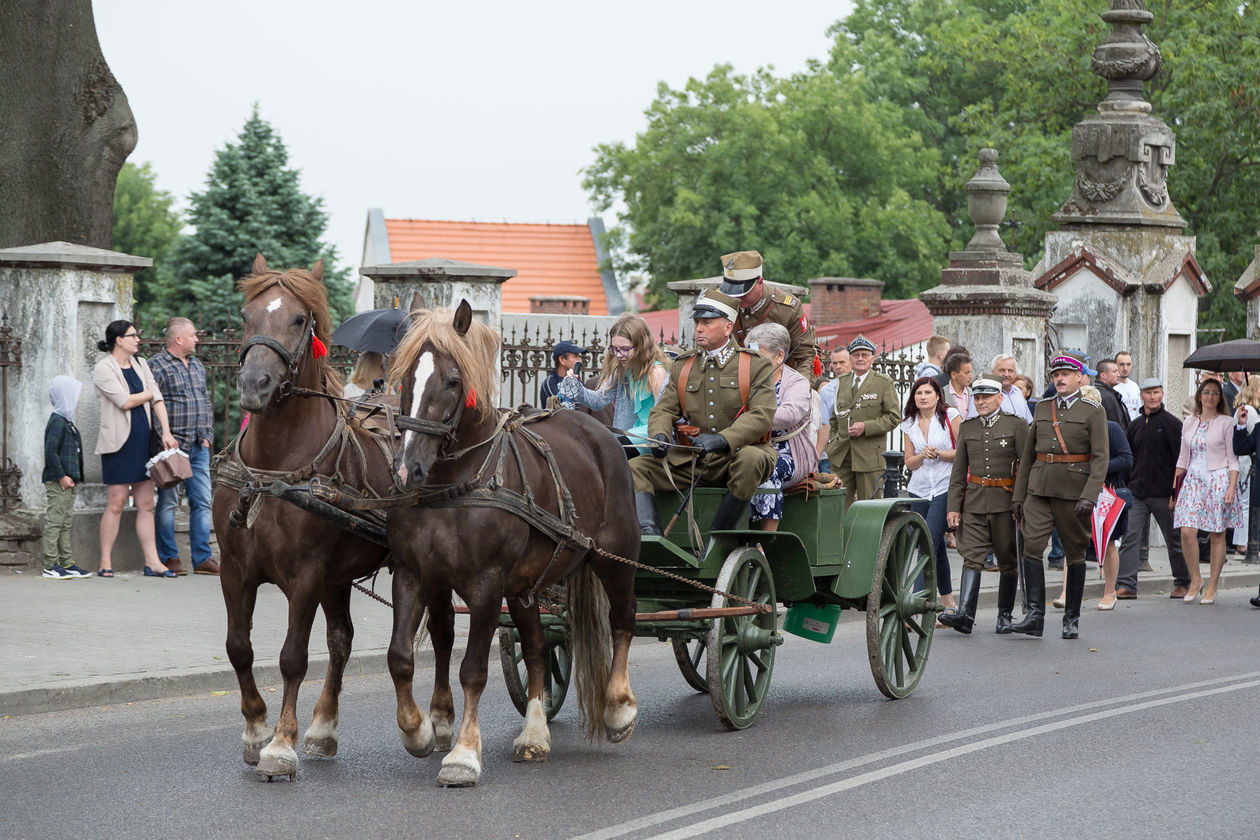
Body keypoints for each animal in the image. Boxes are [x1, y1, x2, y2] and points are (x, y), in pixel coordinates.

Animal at [211, 254, 395, 780]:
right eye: (246, 315)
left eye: (297, 319)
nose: (254, 385)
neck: (273, 468)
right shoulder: (235, 571)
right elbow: (239, 648)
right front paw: (256, 730)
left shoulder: (306, 576)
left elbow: (293, 658)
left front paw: (280, 743)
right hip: (339, 577)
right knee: (341, 641)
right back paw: (323, 727)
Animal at [383, 300, 640, 790]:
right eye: (404, 377)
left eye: (452, 380)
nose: (407, 470)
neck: (455, 484)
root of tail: (599, 431)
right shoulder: (412, 573)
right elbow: (400, 657)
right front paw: (417, 730)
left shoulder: (486, 585)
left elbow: (472, 670)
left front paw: (463, 754)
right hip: (525, 586)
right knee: (538, 648)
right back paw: (535, 733)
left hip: (615, 557)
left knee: (623, 620)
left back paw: (619, 708)